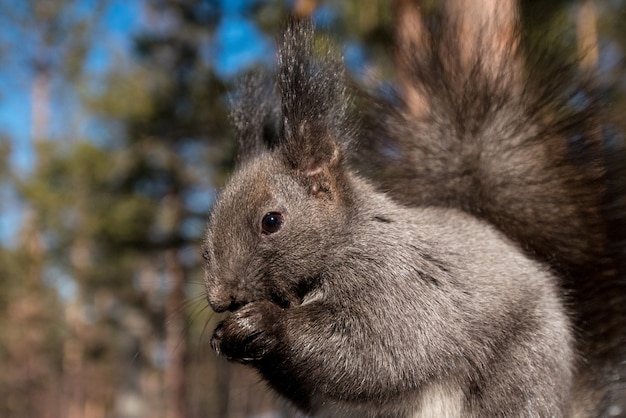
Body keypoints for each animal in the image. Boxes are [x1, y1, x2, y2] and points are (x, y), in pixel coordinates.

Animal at [202, 4, 620, 418]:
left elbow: (372, 350)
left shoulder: (396, 285)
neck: (347, 238)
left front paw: (265, 322)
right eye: (205, 242)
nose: (220, 298)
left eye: (271, 222)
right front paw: (225, 335)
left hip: (522, 375)